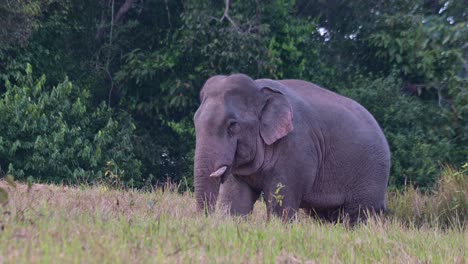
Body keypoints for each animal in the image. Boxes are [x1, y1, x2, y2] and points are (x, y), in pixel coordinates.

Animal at [194, 73, 392, 223]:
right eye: (195, 121)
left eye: (232, 125)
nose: (203, 220)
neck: (260, 90)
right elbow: (236, 201)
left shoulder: (296, 149)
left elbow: (281, 204)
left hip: (371, 175)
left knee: (358, 215)